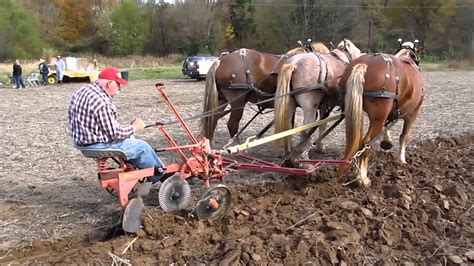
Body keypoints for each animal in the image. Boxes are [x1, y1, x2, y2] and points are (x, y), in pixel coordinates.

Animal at [201, 42, 330, 145]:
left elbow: (290, 126)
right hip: (237, 101)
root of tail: (220, 61)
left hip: (221, 100)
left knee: (212, 119)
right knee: (232, 124)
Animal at [338, 40, 424, 187]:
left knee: (358, 141)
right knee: (366, 143)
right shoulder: (412, 113)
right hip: (378, 116)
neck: (407, 58)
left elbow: (387, 126)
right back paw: (363, 178)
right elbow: (404, 137)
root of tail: (364, 65)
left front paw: (387, 142)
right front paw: (402, 160)